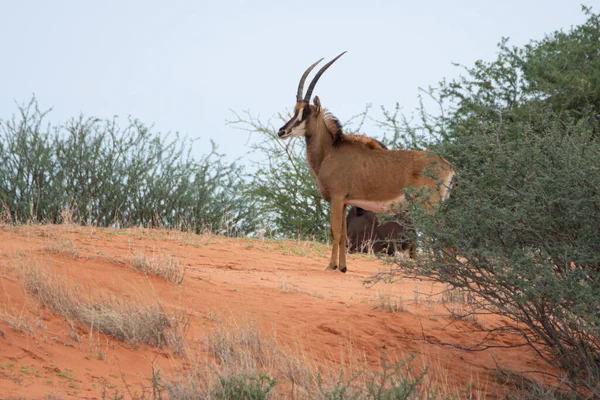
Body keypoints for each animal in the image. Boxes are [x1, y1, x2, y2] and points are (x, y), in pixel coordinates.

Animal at [278, 52, 452, 272]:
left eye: (306, 112)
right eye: (295, 109)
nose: (282, 131)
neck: (331, 151)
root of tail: (447, 165)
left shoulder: (336, 198)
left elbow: (335, 232)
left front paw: (331, 266)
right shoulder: (345, 202)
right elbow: (343, 234)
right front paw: (343, 267)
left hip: (430, 205)